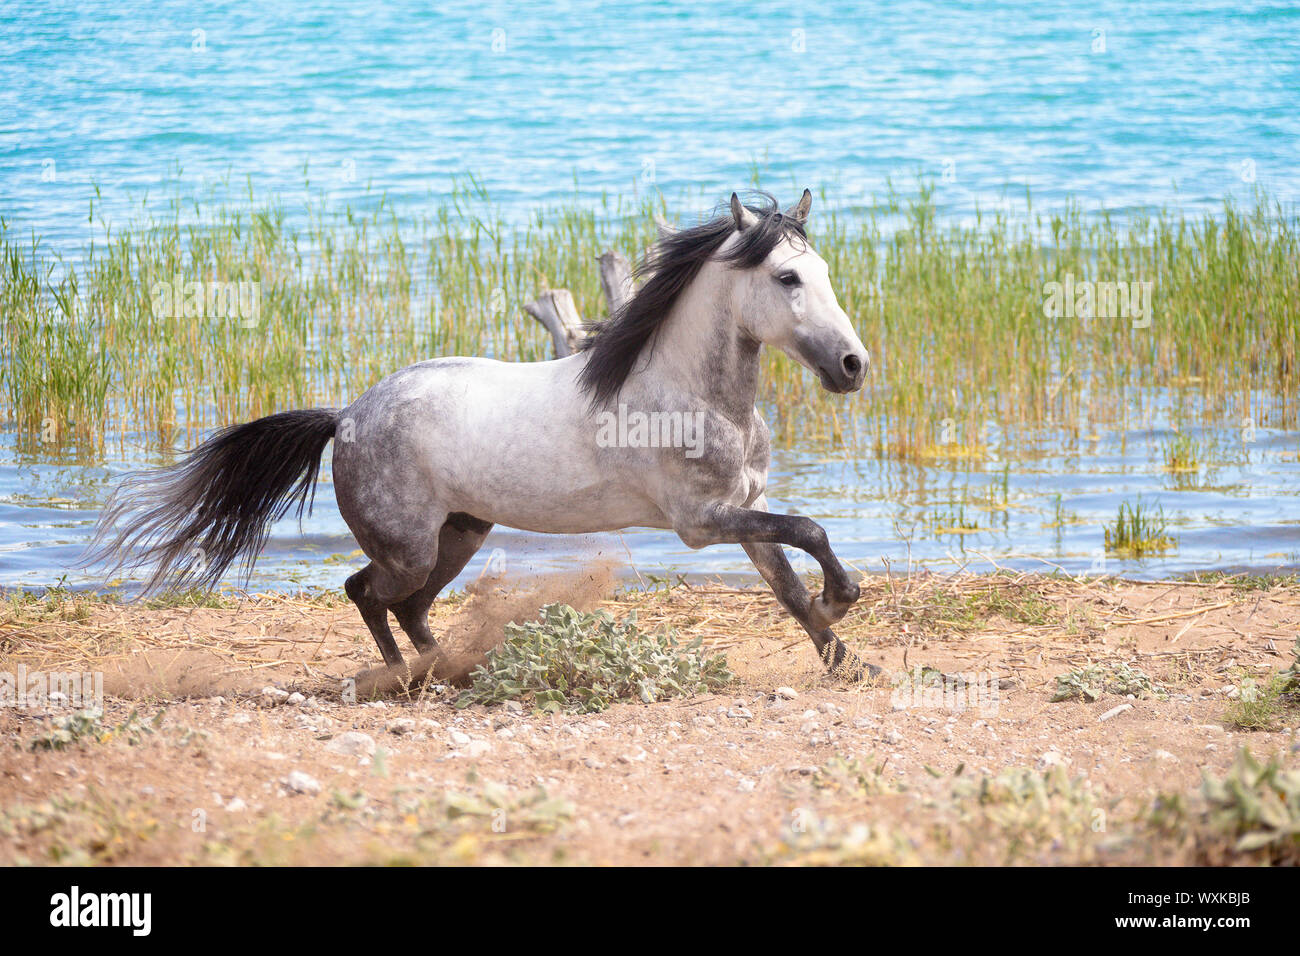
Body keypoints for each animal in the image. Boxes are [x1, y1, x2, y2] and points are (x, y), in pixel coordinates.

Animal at [85, 190, 876, 678]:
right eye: (786, 278)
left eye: (823, 270)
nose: (852, 366)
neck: (691, 394)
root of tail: (346, 415)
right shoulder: (699, 522)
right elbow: (808, 531)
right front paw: (844, 600)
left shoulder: (741, 511)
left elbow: (788, 584)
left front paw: (849, 658)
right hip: (409, 546)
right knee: (366, 591)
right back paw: (409, 677)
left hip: (461, 533)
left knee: (405, 604)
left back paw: (446, 670)